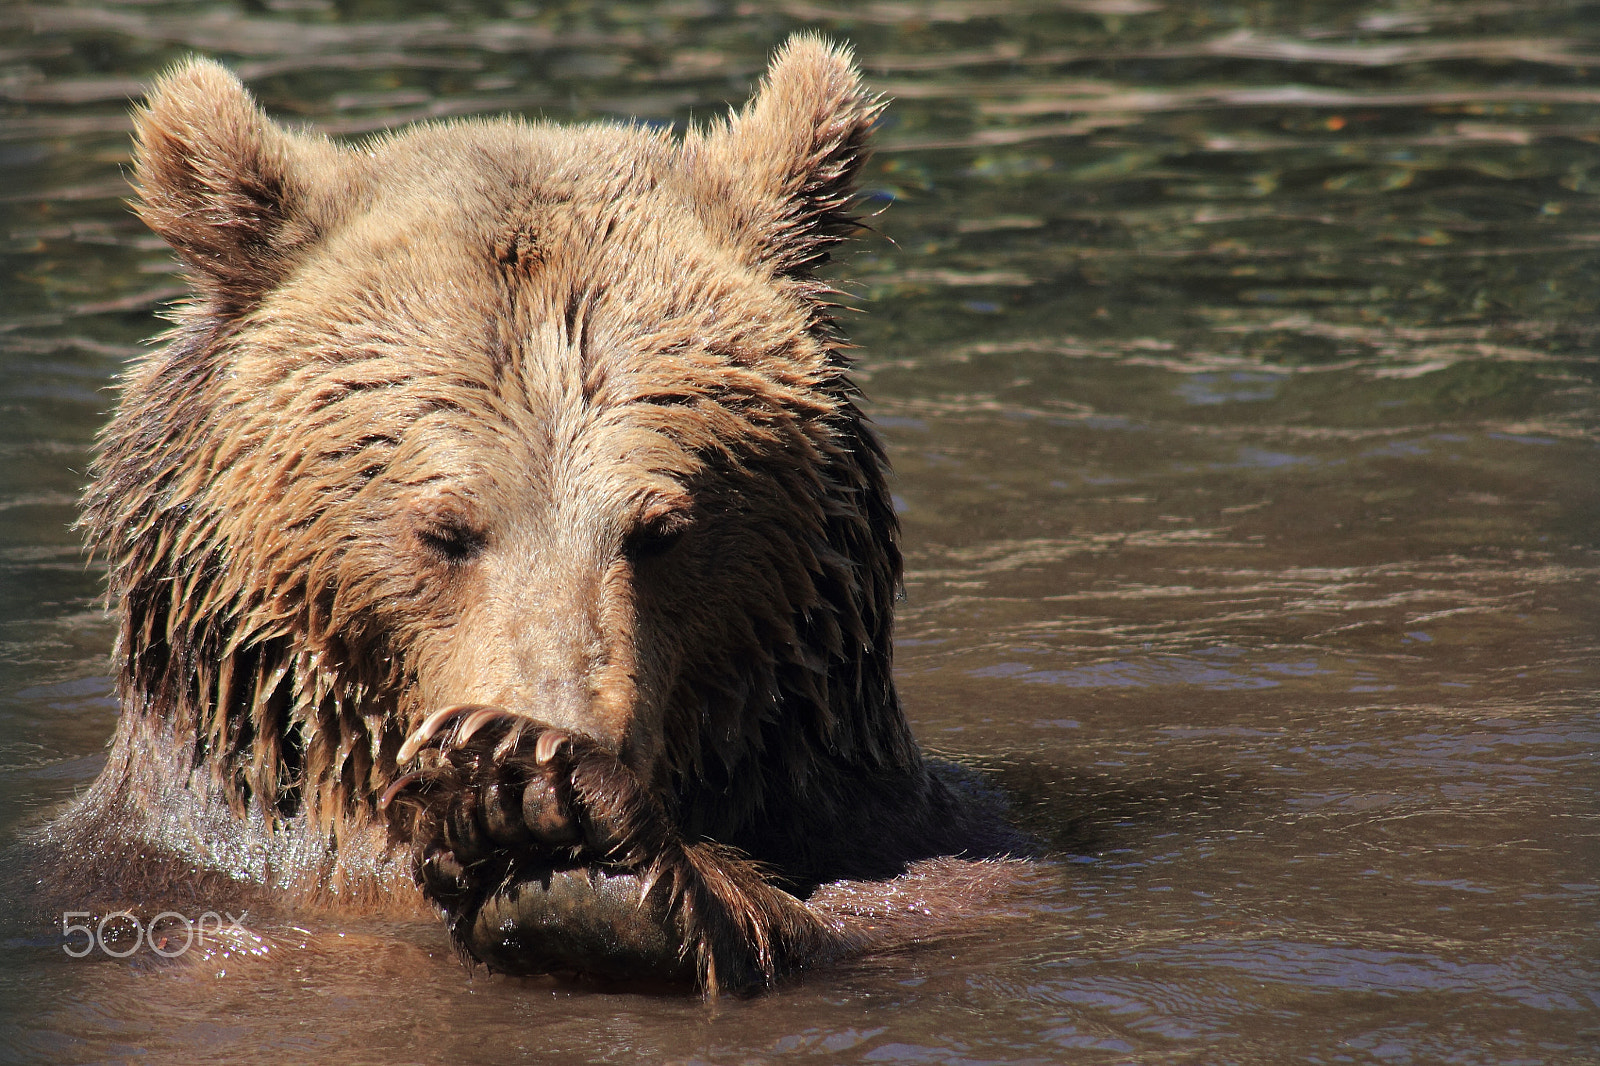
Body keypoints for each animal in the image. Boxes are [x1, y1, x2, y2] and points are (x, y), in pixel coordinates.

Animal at [36, 35, 1021, 994]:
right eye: (444, 530)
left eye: (661, 530)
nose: (567, 730)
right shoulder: (171, 873)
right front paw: (523, 799)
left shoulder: (895, 833)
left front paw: (547, 807)